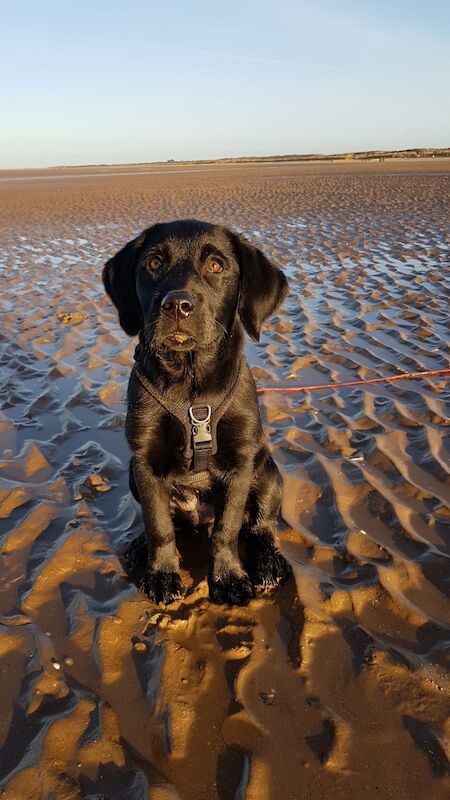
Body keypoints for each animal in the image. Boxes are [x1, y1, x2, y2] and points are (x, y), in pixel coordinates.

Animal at [103, 219, 292, 608]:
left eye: (216, 266)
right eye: (154, 263)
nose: (177, 305)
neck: (192, 392)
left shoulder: (239, 465)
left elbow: (227, 529)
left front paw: (229, 577)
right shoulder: (144, 462)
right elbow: (158, 525)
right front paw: (162, 574)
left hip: (267, 471)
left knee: (261, 525)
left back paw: (267, 562)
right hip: (132, 474)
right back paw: (139, 546)